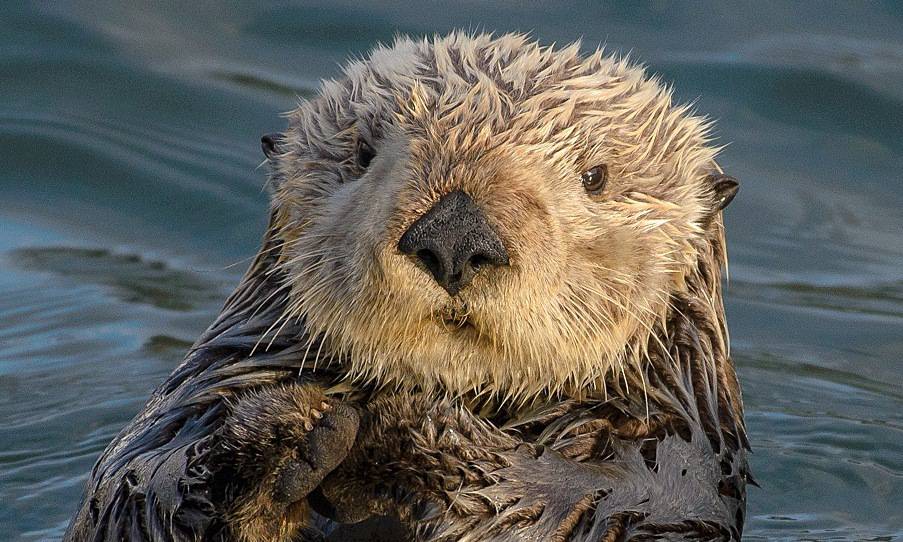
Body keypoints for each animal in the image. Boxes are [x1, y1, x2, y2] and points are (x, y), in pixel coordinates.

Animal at [65, 34, 748, 542]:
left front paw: (401, 436)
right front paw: (287, 430)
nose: (454, 236)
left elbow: (564, 501)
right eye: (362, 154)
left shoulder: (665, 475)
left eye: (595, 176)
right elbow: (133, 488)